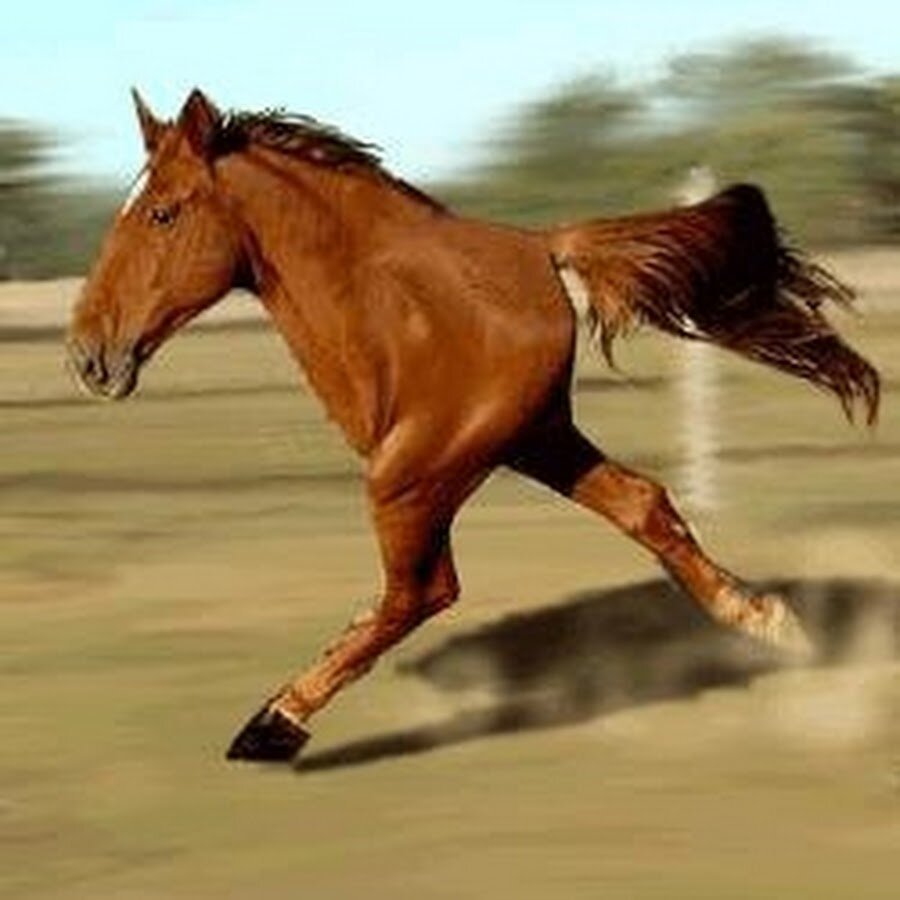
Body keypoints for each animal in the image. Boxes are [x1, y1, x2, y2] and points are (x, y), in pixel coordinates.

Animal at [67, 89, 880, 763]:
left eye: (162, 212)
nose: (87, 357)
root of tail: (547, 248)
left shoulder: (419, 469)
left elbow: (416, 594)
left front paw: (274, 723)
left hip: (420, 470)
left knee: (423, 590)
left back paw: (273, 724)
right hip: (534, 439)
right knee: (643, 505)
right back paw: (772, 624)